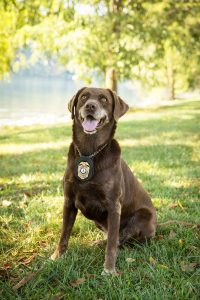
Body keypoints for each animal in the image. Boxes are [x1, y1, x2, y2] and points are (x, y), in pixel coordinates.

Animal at [50, 86, 157, 274]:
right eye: (84, 97)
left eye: (104, 99)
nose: (90, 106)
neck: (90, 152)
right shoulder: (68, 201)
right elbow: (64, 234)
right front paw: (57, 256)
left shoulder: (114, 205)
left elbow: (112, 244)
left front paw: (109, 270)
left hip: (142, 216)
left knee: (121, 239)